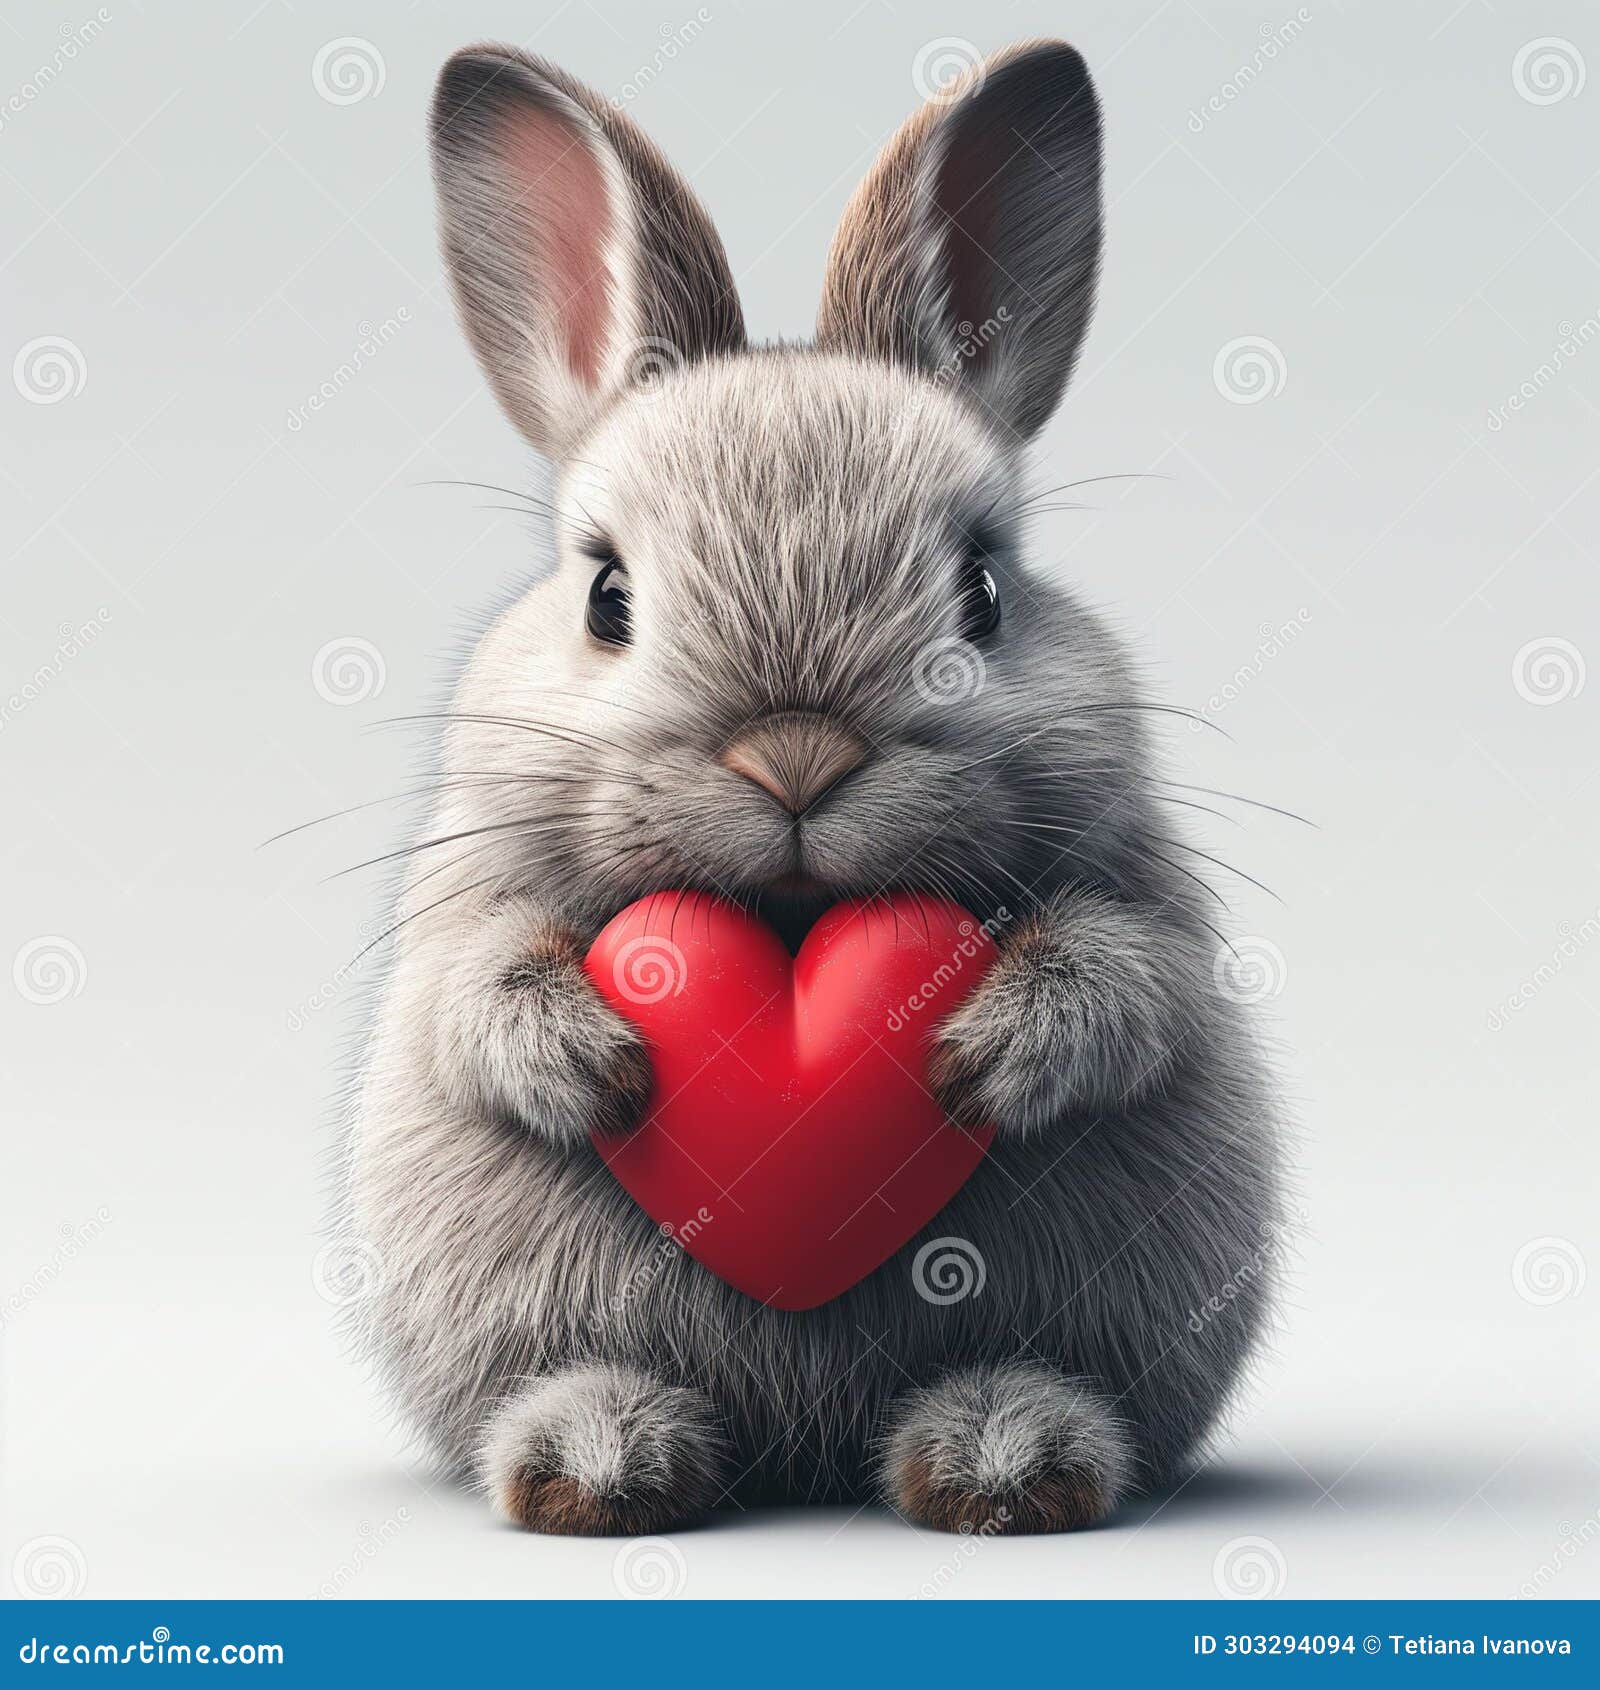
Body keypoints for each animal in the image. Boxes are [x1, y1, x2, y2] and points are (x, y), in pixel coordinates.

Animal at [344, 37, 1282, 1538]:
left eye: (984, 591)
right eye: (606, 597)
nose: (796, 759)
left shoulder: (1145, 896)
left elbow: (1126, 980)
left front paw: (979, 1052)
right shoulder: (462, 904)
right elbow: (475, 994)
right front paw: (598, 1063)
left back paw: (1005, 1459)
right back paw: (597, 1463)